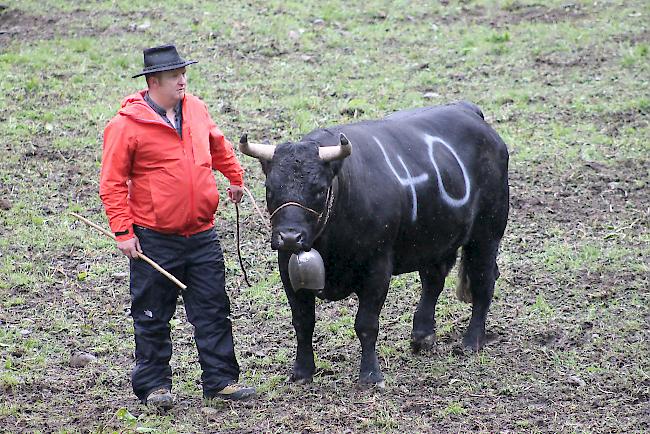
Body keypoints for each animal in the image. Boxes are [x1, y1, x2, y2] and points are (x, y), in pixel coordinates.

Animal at [240, 101, 508, 386]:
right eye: (270, 188)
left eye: (320, 189)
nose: (290, 237)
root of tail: (467, 110)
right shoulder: (287, 269)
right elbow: (303, 322)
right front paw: (302, 372)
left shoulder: (377, 268)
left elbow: (366, 324)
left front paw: (370, 375)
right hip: (435, 239)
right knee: (433, 281)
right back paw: (422, 336)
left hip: (487, 235)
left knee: (483, 281)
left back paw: (472, 340)